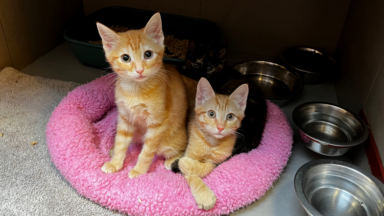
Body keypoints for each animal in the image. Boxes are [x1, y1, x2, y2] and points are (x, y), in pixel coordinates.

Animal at [97, 13, 188, 179]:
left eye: (148, 54)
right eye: (125, 58)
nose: (139, 70)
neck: (135, 90)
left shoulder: (157, 124)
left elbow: (147, 151)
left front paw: (139, 170)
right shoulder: (125, 118)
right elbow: (121, 142)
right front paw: (115, 162)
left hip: (170, 141)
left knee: (181, 148)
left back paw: (170, 160)